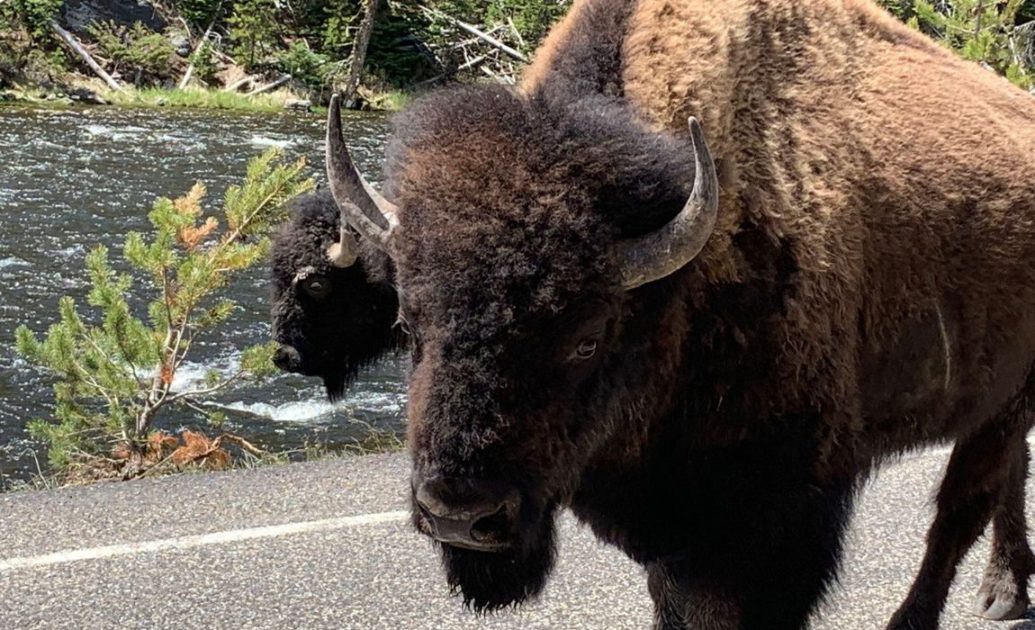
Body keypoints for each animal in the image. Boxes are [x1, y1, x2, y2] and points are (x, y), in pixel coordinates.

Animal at [273, 1, 1035, 628]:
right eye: (409, 325)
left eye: (585, 337)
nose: (461, 514)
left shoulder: (774, 519)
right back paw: (1004, 594)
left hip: (996, 399)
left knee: (957, 513)